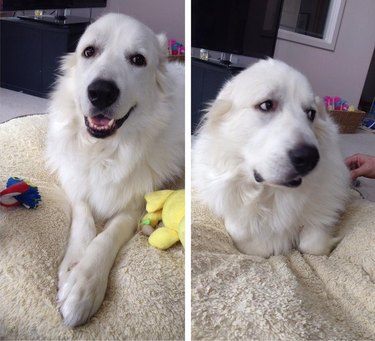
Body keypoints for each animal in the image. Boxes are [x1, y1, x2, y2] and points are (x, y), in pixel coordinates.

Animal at [46, 13, 184, 326]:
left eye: (137, 60)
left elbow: (108, 236)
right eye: (89, 52)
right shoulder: (74, 181)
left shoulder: (137, 203)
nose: (101, 92)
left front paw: (84, 284)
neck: (105, 151)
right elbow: (84, 217)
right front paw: (73, 265)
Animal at [192, 58, 352, 256]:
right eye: (266, 105)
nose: (310, 158)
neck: (272, 193)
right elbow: (245, 237)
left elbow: (312, 244)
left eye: (311, 113)